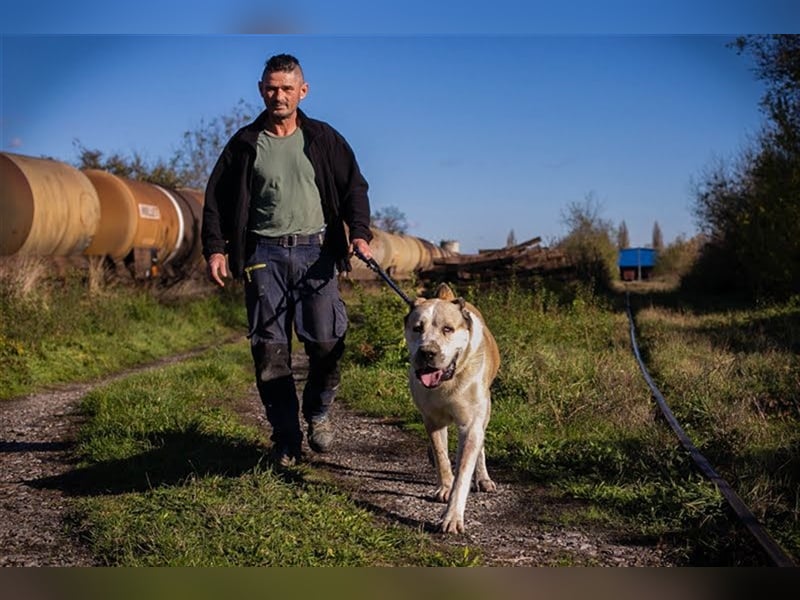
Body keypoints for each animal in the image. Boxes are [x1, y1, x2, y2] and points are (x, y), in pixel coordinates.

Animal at [406, 284, 500, 532]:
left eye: (448, 329)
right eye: (417, 328)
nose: (427, 352)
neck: (448, 380)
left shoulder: (471, 424)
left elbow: (464, 472)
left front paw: (452, 517)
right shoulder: (432, 419)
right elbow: (441, 455)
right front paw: (445, 486)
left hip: (485, 409)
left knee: (481, 445)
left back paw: (483, 478)